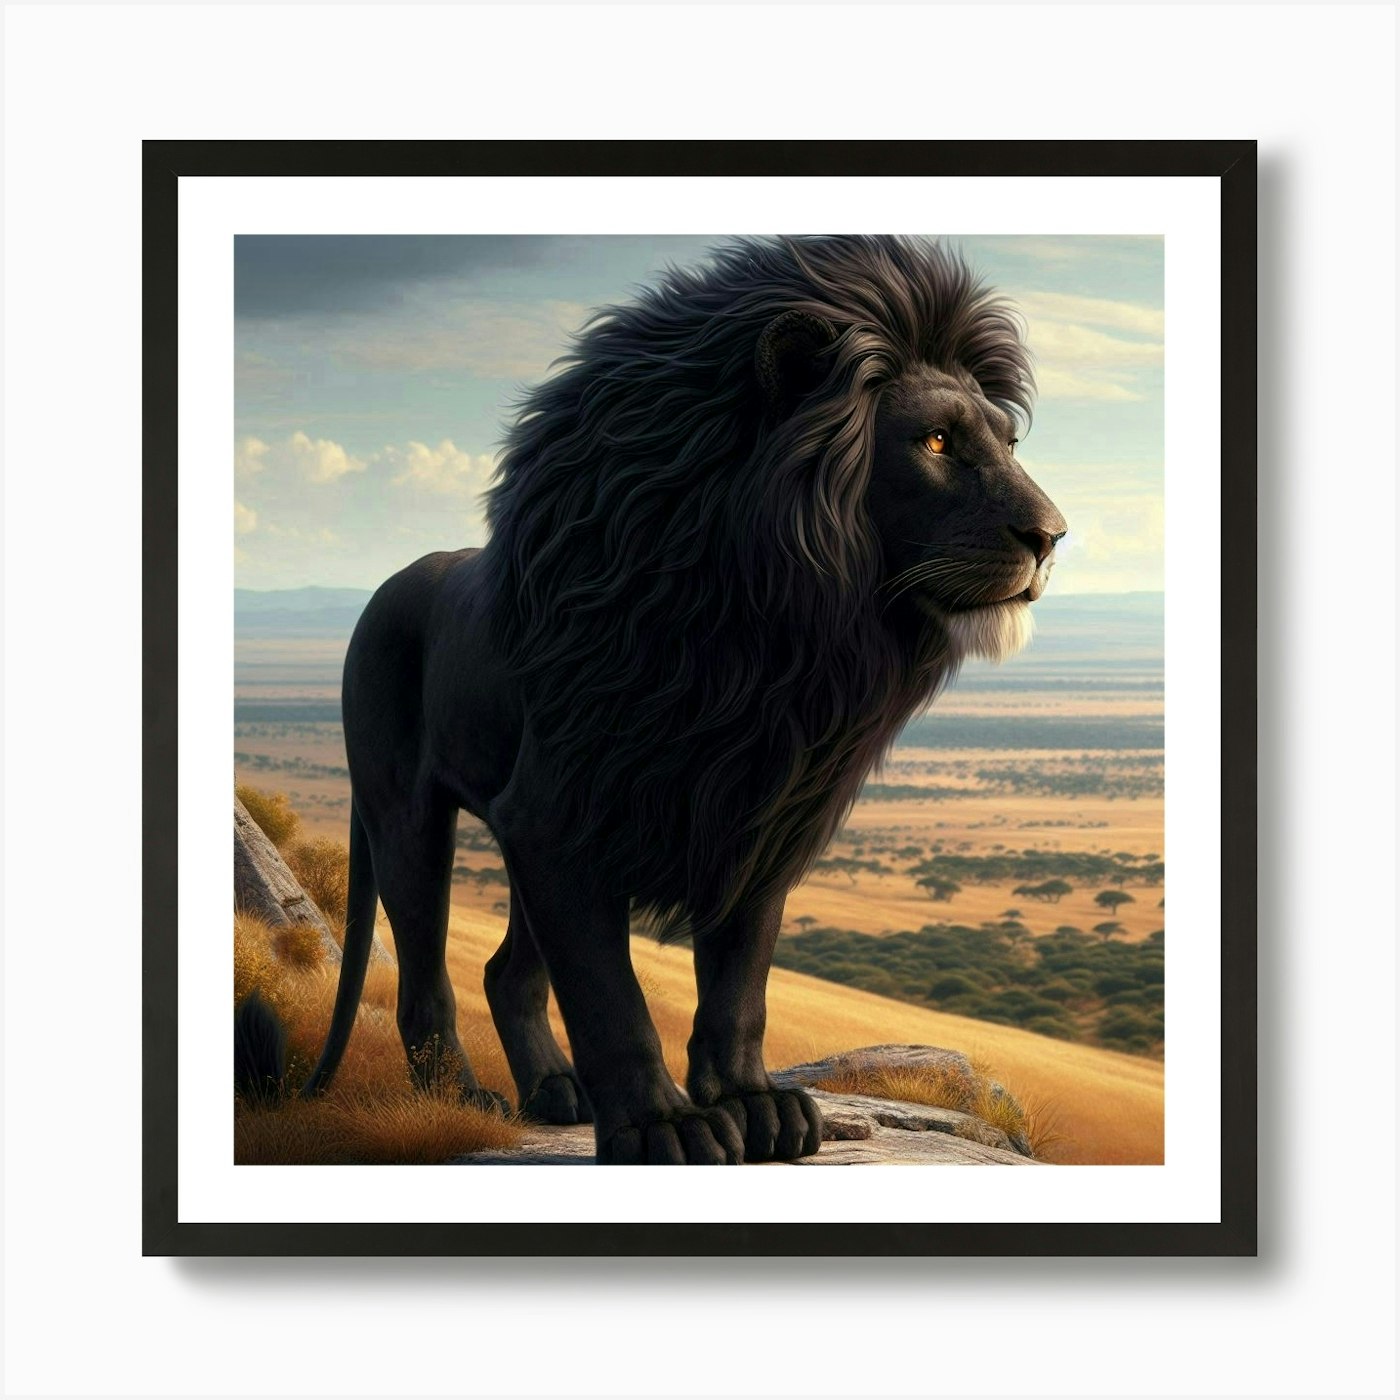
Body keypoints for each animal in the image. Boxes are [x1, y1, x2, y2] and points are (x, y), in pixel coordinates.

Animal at [302, 236, 1066, 1164]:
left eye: (1009, 439)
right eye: (936, 439)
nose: (1052, 536)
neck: (771, 631)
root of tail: (380, 592)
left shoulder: (760, 811)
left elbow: (740, 984)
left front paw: (756, 1107)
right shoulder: (557, 818)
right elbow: (610, 996)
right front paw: (664, 1127)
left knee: (506, 971)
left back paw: (554, 1092)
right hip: (407, 811)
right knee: (425, 973)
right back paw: (463, 1097)